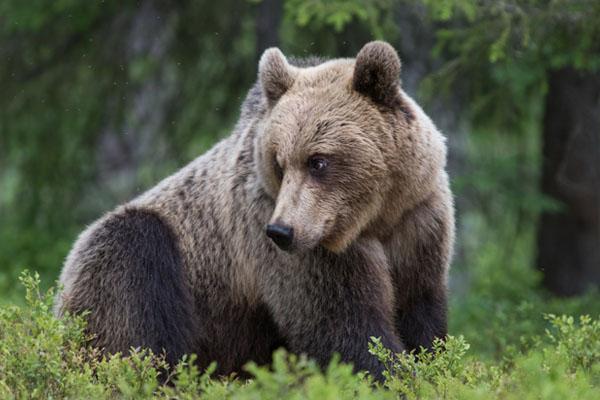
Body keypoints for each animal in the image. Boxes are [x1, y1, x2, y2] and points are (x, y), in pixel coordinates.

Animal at [55, 41, 454, 382]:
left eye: (318, 161)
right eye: (280, 162)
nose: (282, 231)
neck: (374, 217)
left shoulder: (418, 222)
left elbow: (420, 312)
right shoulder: (295, 244)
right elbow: (341, 323)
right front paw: (392, 373)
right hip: (149, 268)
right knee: (133, 285)